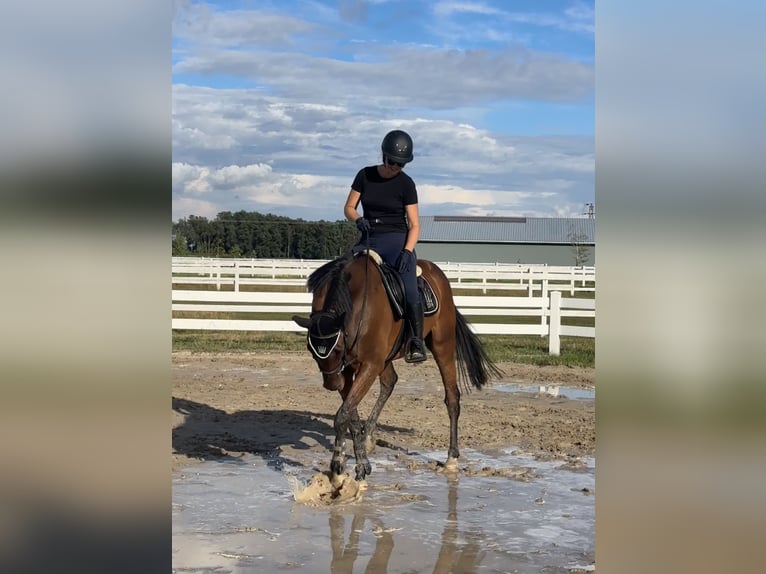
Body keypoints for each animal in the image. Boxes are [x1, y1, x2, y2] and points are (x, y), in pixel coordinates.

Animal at [294, 254, 504, 484]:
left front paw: (339, 469)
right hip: (387, 357)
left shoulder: (369, 364)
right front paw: (357, 464)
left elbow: (342, 416)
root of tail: (437, 273)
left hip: (443, 345)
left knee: (452, 397)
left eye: (338, 347)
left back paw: (451, 459)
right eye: (310, 349)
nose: (332, 384)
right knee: (390, 382)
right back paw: (368, 437)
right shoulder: (349, 369)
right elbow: (350, 416)